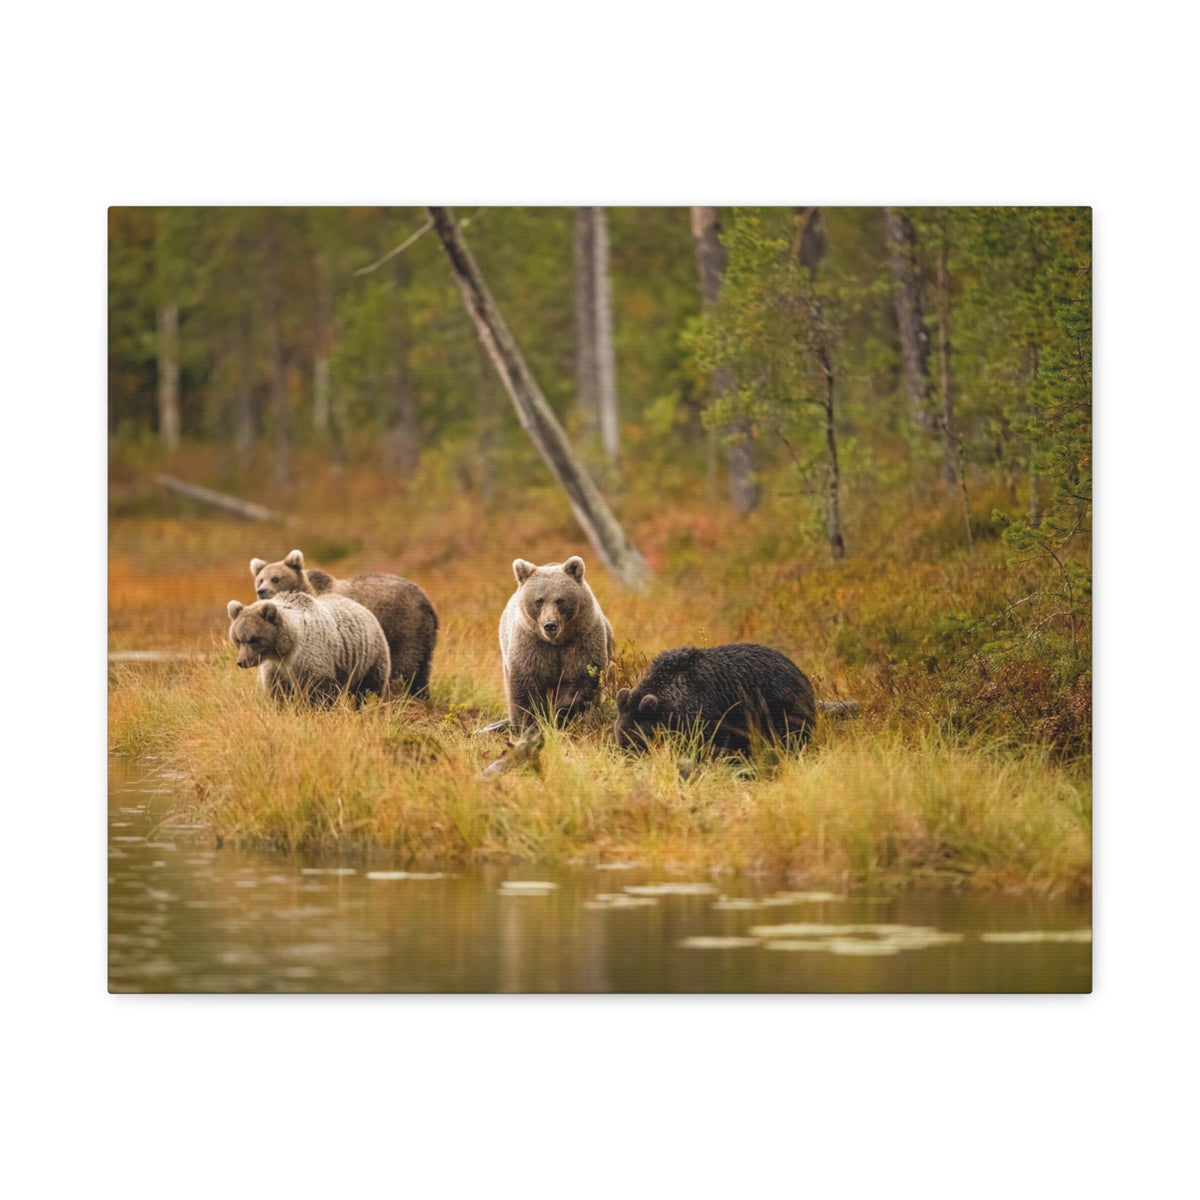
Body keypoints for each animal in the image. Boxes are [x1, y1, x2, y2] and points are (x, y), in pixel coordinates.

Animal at [227, 591, 391, 707]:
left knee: (369, 689)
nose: (242, 662)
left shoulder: (310, 657)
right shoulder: (274, 669)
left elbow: (319, 691)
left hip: (369, 657)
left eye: (253, 639)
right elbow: (278, 694)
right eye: (238, 639)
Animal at [249, 549, 438, 699]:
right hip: (423, 637)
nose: (261, 591)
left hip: (403, 627)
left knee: (403, 666)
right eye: (260, 579)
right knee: (422, 668)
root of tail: (426, 599)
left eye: (275, 579)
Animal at [498, 555, 614, 731]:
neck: (557, 642)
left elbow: (578, 680)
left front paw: (561, 715)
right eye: (539, 601)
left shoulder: (581, 641)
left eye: (560, 600)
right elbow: (526, 684)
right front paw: (531, 724)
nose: (550, 625)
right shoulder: (532, 644)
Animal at [613, 643, 817, 755]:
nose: (626, 758)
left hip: (780, 706)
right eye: (619, 739)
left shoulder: (706, 715)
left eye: (635, 741)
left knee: (789, 737)